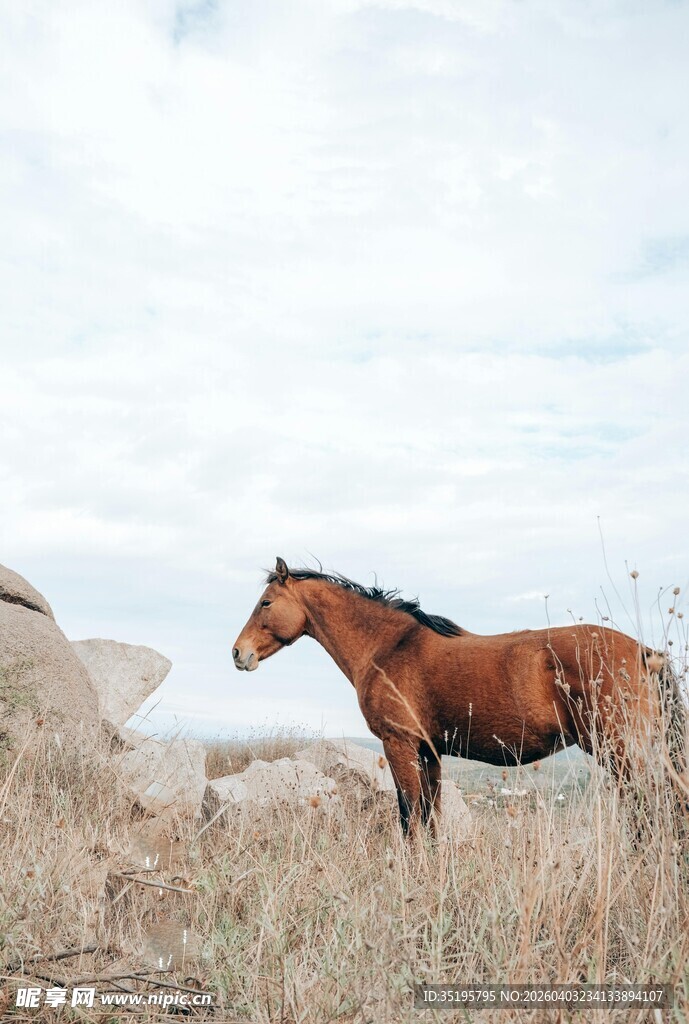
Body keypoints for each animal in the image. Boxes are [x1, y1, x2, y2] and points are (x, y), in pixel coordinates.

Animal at [232, 558, 687, 837]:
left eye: (266, 602)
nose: (239, 653)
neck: (388, 646)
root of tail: (643, 653)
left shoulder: (399, 745)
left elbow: (410, 818)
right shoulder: (428, 752)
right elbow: (430, 819)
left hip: (619, 749)